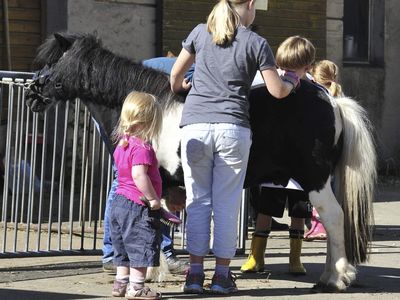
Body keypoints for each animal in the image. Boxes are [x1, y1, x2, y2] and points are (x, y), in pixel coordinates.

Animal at [26, 32, 376, 292]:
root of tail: (332, 101)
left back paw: (336, 278)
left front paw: (152, 271)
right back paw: (332, 274)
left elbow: (152, 222)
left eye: (51, 63)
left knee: (334, 217)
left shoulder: (153, 181)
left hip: (314, 181)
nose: (31, 95)